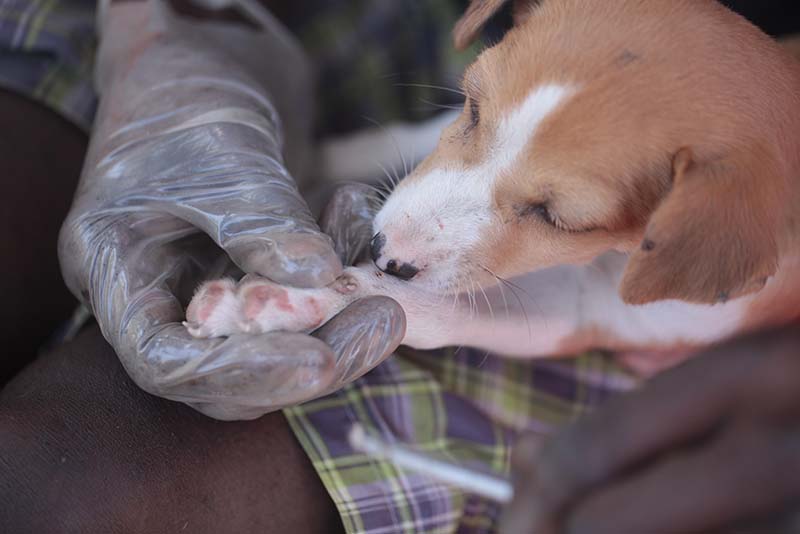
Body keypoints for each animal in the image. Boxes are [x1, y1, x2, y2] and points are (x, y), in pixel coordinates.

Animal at [183, 0, 800, 368]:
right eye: (474, 107)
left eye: (559, 219)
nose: (383, 251)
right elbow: (404, 136)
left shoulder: (589, 319)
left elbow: (428, 307)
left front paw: (287, 301)